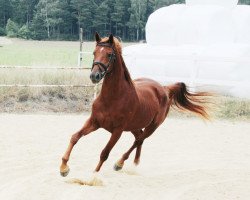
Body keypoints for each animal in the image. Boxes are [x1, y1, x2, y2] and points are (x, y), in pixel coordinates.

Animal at [59, 32, 210, 177]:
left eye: (109, 54)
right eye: (94, 52)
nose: (94, 76)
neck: (112, 98)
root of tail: (164, 89)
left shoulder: (117, 131)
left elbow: (104, 153)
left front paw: (92, 176)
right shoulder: (94, 122)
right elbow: (75, 137)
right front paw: (64, 168)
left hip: (153, 126)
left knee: (139, 140)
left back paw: (120, 163)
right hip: (134, 126)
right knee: (139, 138)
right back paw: (135, 164)